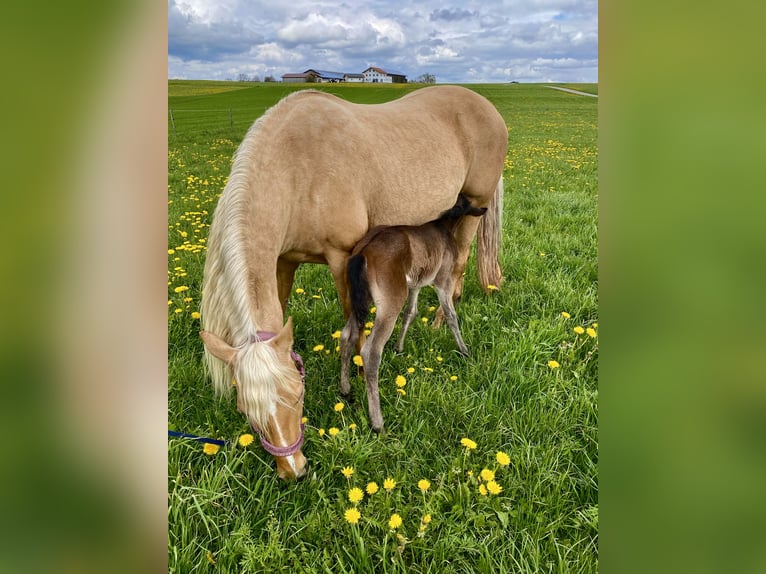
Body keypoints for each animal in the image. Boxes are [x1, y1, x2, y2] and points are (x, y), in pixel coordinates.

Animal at [339, 195, 488, 431]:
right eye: (469, 203)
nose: (484, 209)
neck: (444, 227)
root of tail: (363, 251)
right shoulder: (442, 280)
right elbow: (450, 314)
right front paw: (464, 350)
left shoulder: (415, 284)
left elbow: (411, 312)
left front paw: (399, 347)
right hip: (390, 301)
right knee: (371, 351)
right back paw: (378, 423)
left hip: (359, 299)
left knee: (346, 335)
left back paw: (345, 390)